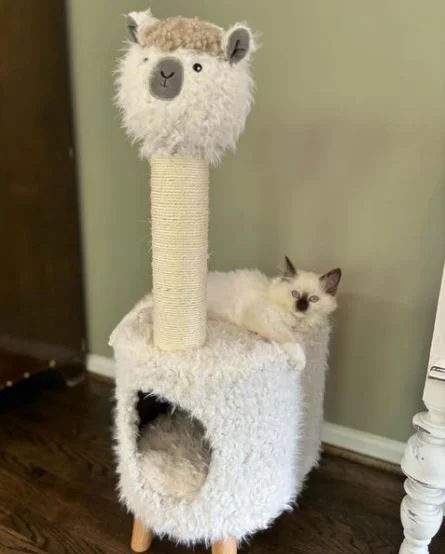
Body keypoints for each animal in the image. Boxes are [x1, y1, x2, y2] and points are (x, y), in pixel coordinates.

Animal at [206, 256, 340, 368]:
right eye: (295, 294)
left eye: (313, 299)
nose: (301, 306)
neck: (296, 320)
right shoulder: (266, 319)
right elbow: (290, 337)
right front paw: (300, 361)